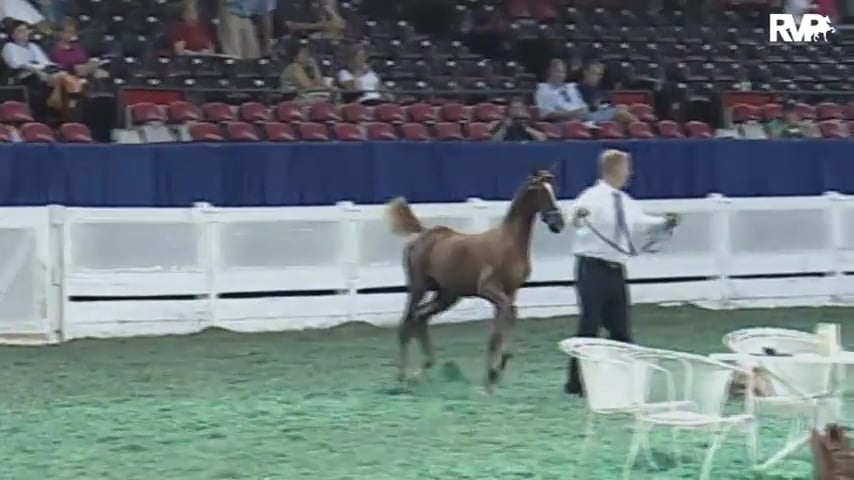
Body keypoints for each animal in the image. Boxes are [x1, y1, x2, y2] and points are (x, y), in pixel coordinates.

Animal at [385, 169, 566, 393]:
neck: (510, 243)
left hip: (447, 295)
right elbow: (501, 326)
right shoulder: (489, 289)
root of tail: (421, 234)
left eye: (553, 189)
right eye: (540, 191)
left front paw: (495, 373)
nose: (558, 223)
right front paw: (491, 376)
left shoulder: (510, 292)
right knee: (406, 323)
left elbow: (507, 319)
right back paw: (402, 378)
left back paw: (423, 369)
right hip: (418, 287)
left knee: (420, 318)